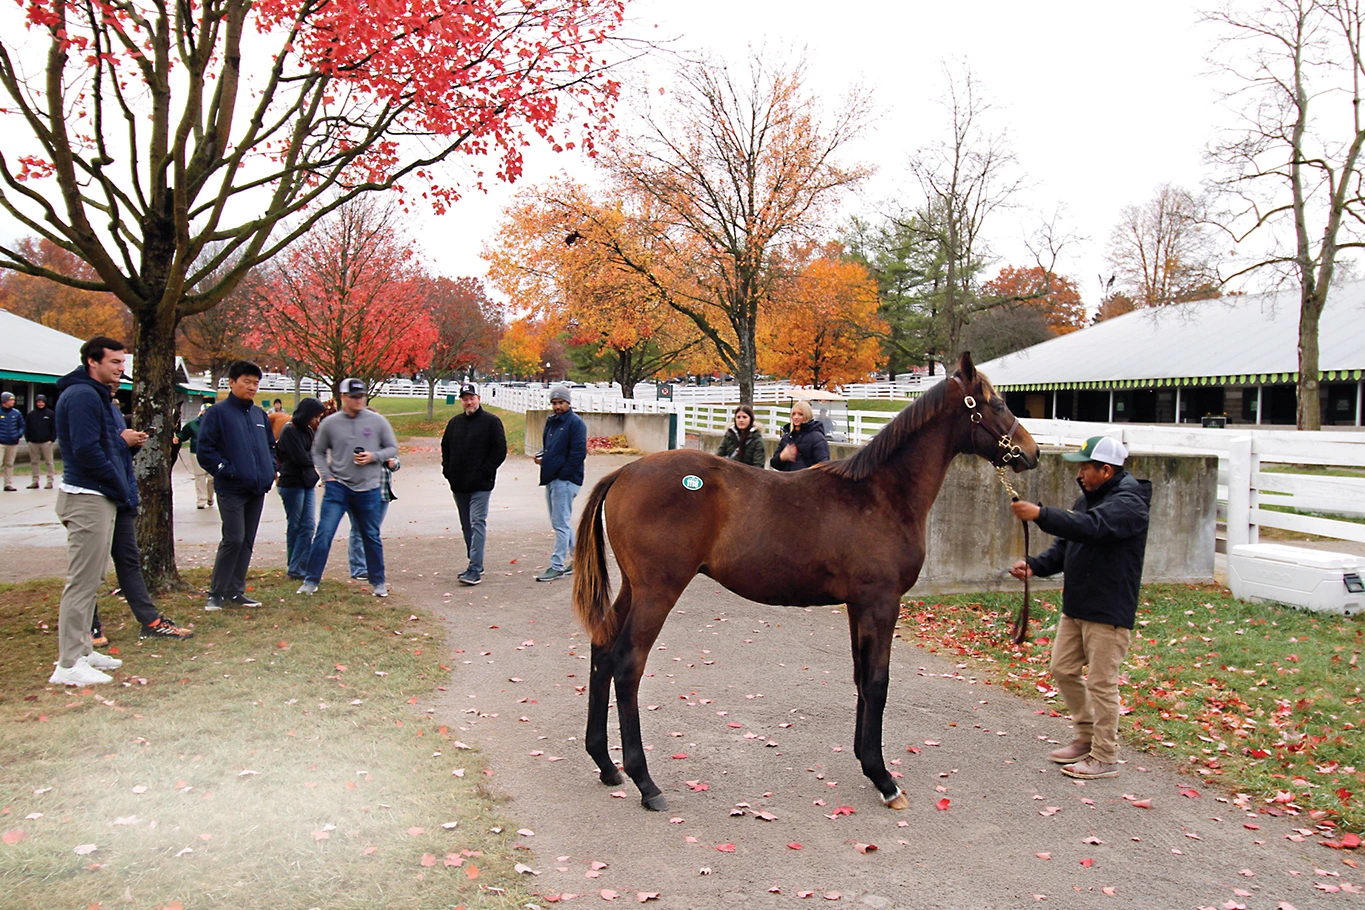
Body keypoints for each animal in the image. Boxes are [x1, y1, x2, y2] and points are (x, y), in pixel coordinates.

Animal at [570, 354, 1037, 813]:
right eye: (997, 404)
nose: (1030, 453)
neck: (881, 494)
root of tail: (625, 473)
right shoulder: (881, 603)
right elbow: (878, 682)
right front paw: (884, 779)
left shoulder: (858, 605)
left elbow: (861, 677)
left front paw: (865, 761)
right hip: (658, 592)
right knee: (628, 664)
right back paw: (646, 783)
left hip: (634, 589)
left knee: (603, 650)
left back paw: (606, 764)